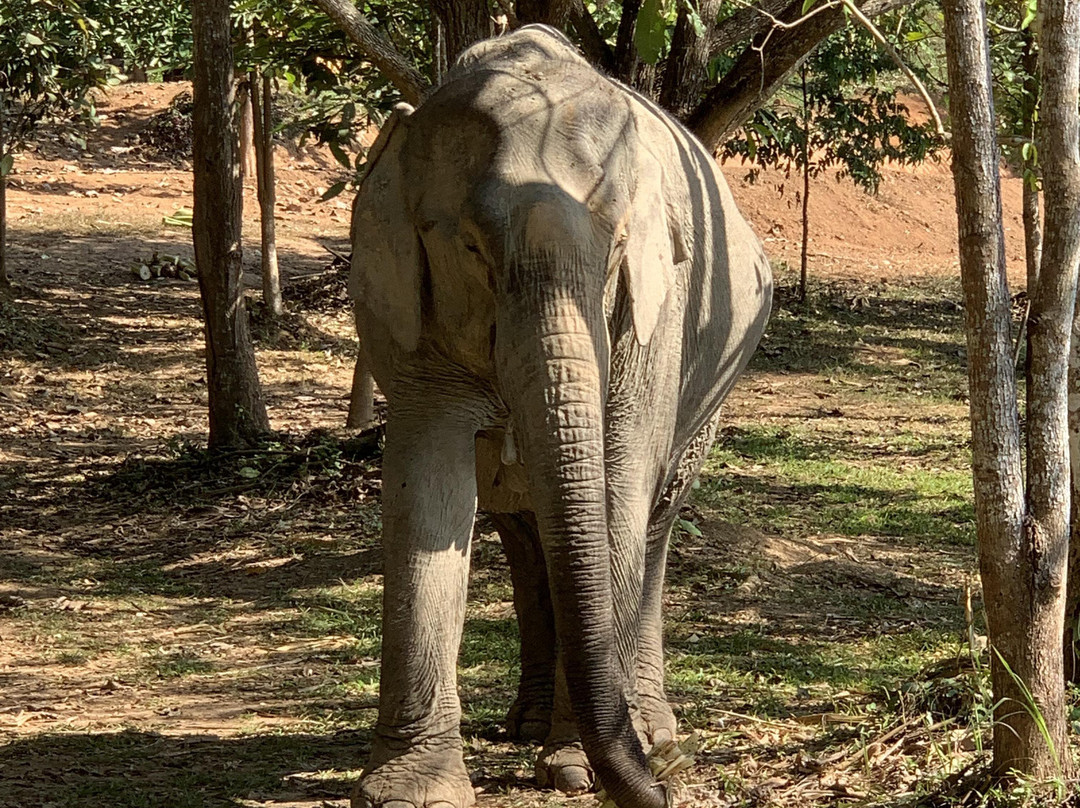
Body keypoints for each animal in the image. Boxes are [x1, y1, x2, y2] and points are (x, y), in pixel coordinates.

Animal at [348, 24, 772, 808]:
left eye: (617, 250)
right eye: (473, 248)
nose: (665, 789)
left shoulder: (656, 317)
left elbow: (617, 483)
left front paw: (576, 769)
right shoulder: (400, 309)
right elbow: (426, 489)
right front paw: (408, 792)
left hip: (712, 384)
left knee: (655, 517)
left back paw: (645, 730)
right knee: (522, 527)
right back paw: (533, 725)